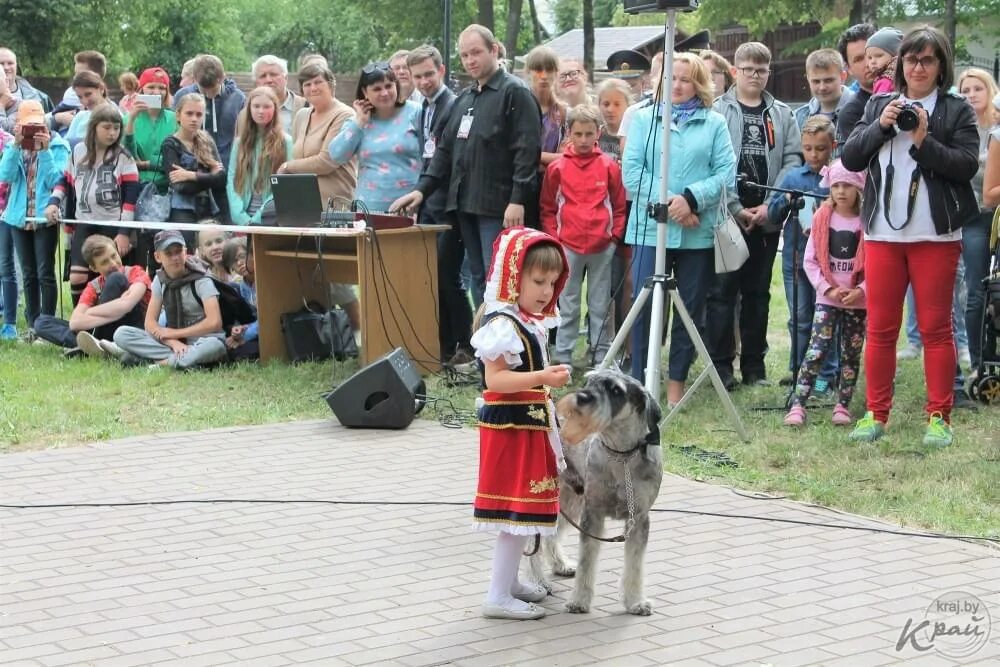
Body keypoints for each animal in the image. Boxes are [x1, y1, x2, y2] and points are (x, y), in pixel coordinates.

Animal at [532, 370, 664, 616]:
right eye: (589, 380)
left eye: (616, 390)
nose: (581, 397)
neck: (621, 455)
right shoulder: (593, 514)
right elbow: (587, 561)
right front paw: (579, 601)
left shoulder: (639, 519)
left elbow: (635, 564)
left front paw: (635, 601)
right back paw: (537, 582)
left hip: (571, 500)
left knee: (551, 535)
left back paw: (560, 564)